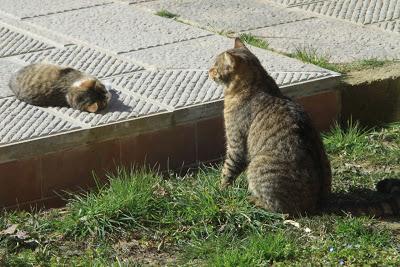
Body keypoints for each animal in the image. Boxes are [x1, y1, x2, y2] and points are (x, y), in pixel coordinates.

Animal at [209, 38, 400, 218]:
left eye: (215, 67)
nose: (208, 71)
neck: (257, 85)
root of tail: (320, 203)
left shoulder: (236, 144)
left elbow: (227, 170)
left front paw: (220, 189)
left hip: (257, 166)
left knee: (281, 210)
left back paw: (253, 200)